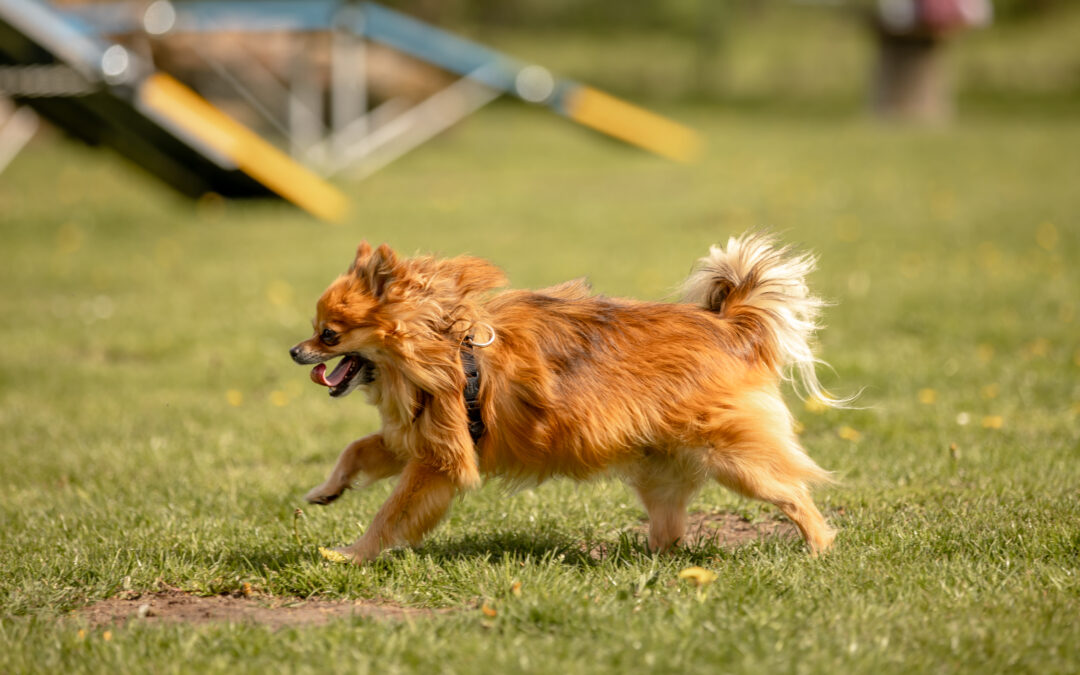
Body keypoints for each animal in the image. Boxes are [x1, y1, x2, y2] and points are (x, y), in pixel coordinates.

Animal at [291, 234, 838, 561]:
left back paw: (820, 546)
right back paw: (648, 558)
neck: (444, 346)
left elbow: (391, 512)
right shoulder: (413, 438)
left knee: (792, 493)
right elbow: (356, 450)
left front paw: (353, 554)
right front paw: (325, 491)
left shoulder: (439, 458)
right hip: (660, 470)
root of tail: (730, 326)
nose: (296, 350)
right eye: (315, 330)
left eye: (329, 333)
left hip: (735, 460)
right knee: (669, 527)